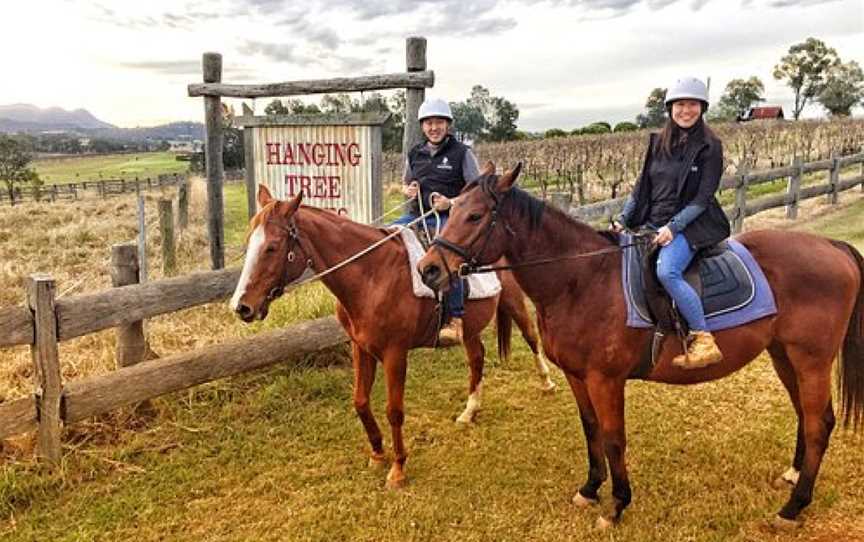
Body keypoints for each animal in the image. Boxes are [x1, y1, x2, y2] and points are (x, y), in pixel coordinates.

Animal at [230, 185, 552, 490]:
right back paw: (469, 411)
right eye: (249, 243)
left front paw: (398, 469)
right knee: (477, 357)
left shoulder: (394, 353)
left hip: (513, 301)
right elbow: (360, 401)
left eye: (272, 247)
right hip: (470, 328)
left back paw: (547, 382)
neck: (373, 276)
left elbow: (394, 411)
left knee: (531, 338)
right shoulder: (361, 348)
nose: (241, 306)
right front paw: (377, 453)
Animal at [416, 164, 860, 528]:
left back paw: (794, 507)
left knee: (819, 423)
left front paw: (617, 505)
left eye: (475, 215)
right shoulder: (577, 376)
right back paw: (794, 476)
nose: (428, 269)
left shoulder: (606, 380)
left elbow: (614, 437)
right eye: (450, 209)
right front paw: (590, 489)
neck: (582, 279)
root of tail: (832, 247)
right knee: (806, 413)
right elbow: (591, 429)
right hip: (784, 354)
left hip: (811, 360)